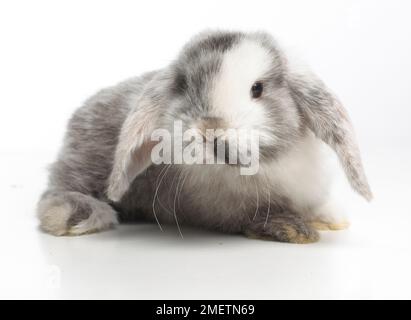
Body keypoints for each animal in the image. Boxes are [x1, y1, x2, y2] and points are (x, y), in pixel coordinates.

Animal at [37, 31, 374, 244]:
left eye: (257, 89)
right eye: (185, 86)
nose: (210, 129)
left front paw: (330, 219)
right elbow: (250, 217)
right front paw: (291, 228)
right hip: (85, 162)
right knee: (57, 190)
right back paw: (72, 215)